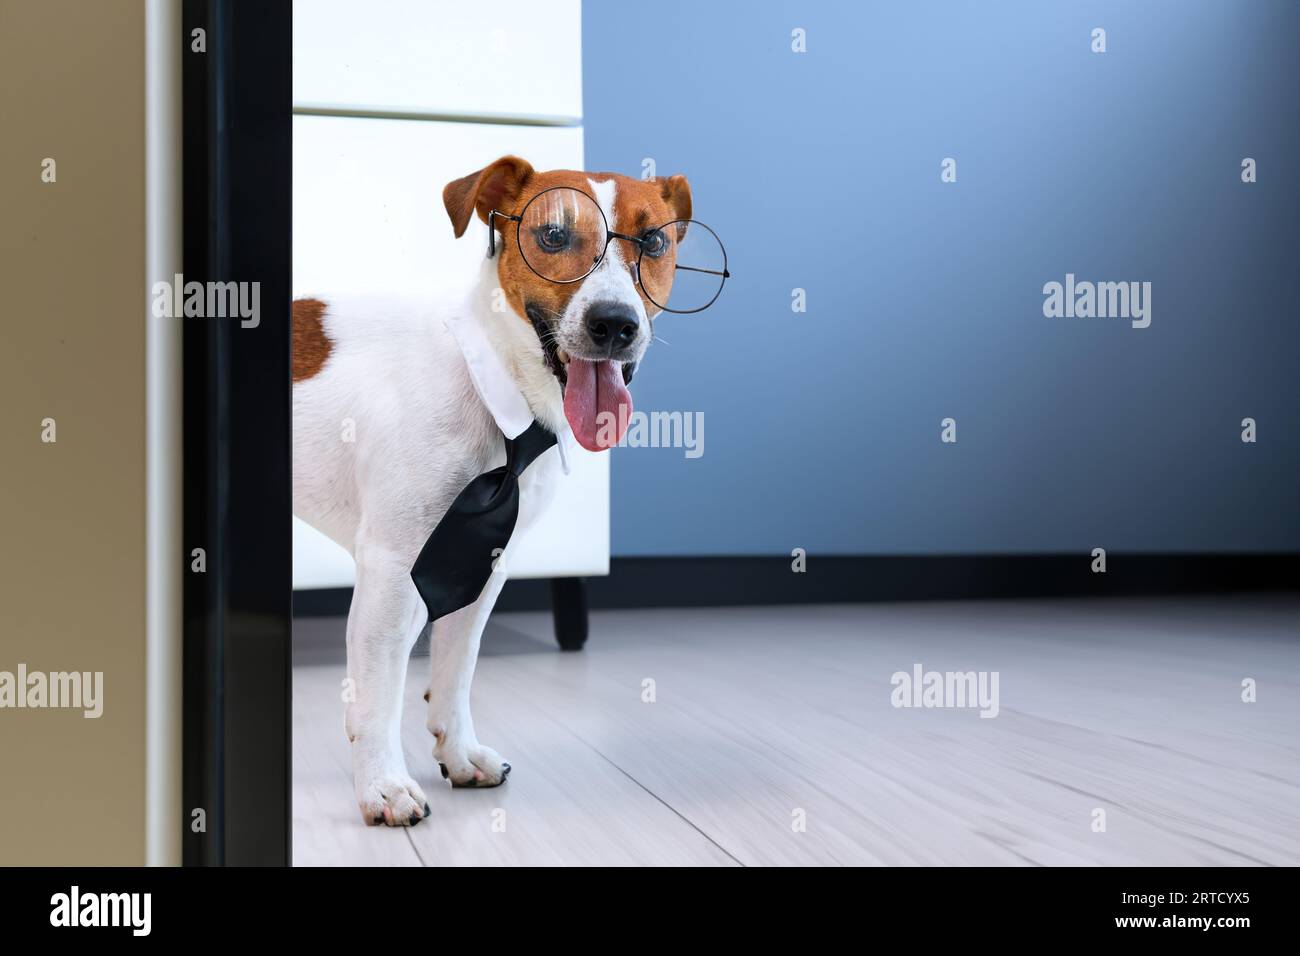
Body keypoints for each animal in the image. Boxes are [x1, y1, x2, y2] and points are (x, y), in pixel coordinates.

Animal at [284, 155, 691, 822]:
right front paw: (382, 783)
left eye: (654, 241)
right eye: (553, 235)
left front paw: (457, 753)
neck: (488, 382)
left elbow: (454, 671)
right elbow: (380, 687)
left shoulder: (481, 565)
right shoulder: (392, 566)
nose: (615, 324)